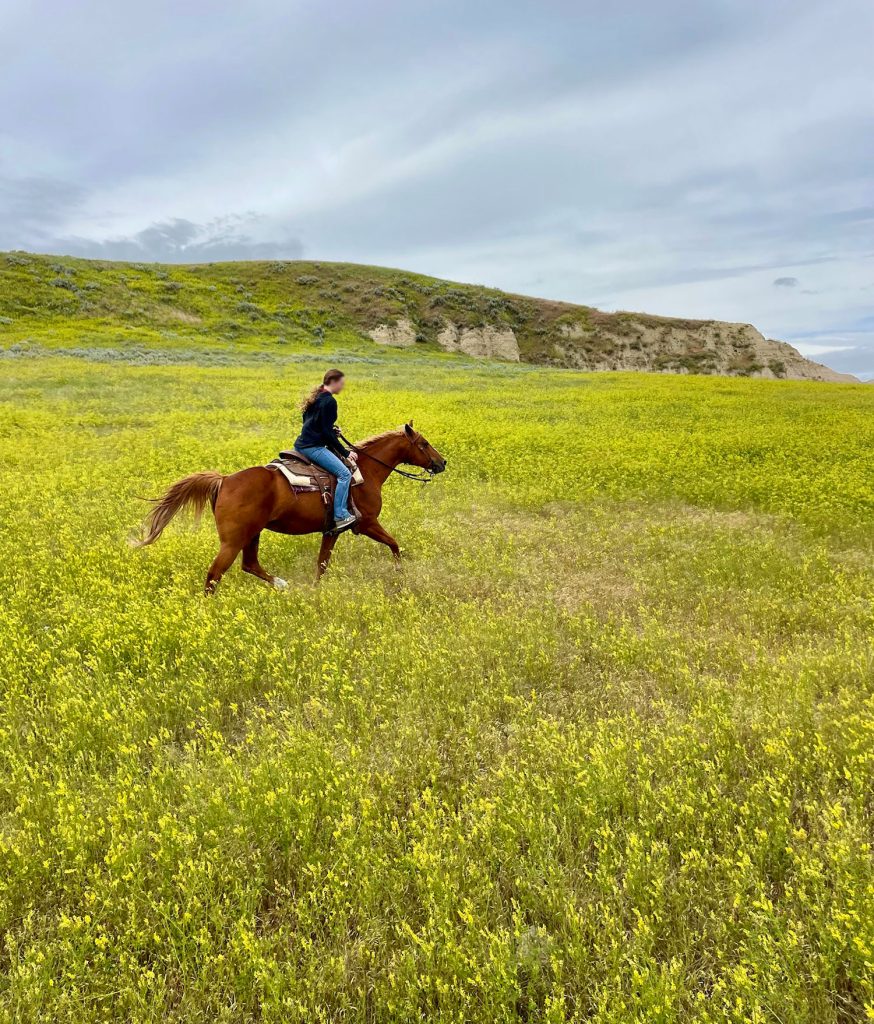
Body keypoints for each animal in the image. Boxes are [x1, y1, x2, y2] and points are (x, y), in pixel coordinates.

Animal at [133, 419, 448, 593]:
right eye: (423, 443)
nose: (442, 462)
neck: (365, 472)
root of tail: (224, 481)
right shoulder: (367, 523)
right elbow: (394, 544)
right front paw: (400, 574)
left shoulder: (331, 532)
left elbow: (322, 564)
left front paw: (315, 590)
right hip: (233, 540)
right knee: (214, 575)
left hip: (253, 533)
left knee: (250, 564)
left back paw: (282, 585)